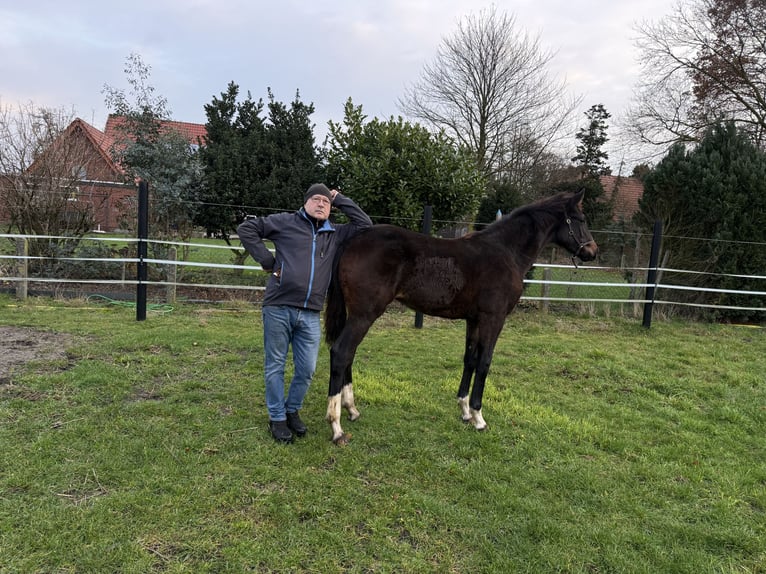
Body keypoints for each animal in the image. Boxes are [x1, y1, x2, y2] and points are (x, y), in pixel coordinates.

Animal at [323, 189, 598, 445]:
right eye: (581, 219)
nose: (592, 251)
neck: (506, 252)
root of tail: (354, 239)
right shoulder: (493, 318)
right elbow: (485, 362)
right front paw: (478, 417)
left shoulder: (474, 320)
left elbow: (470, 359)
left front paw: (465, 410)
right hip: (364, 314)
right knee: (341, 352)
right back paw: (336, 426)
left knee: (348, 353)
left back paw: (351, 409)